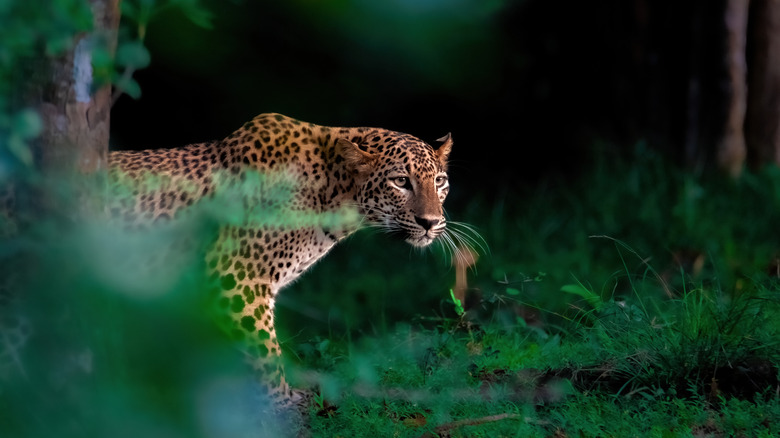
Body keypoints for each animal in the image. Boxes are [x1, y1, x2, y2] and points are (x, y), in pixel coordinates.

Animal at [106, 113, 470, 410]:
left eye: (439, 181)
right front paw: (281, 402)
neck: (334, 195)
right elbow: (265, 352)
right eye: (401, 182)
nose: (430, 222)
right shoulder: (236, 279)